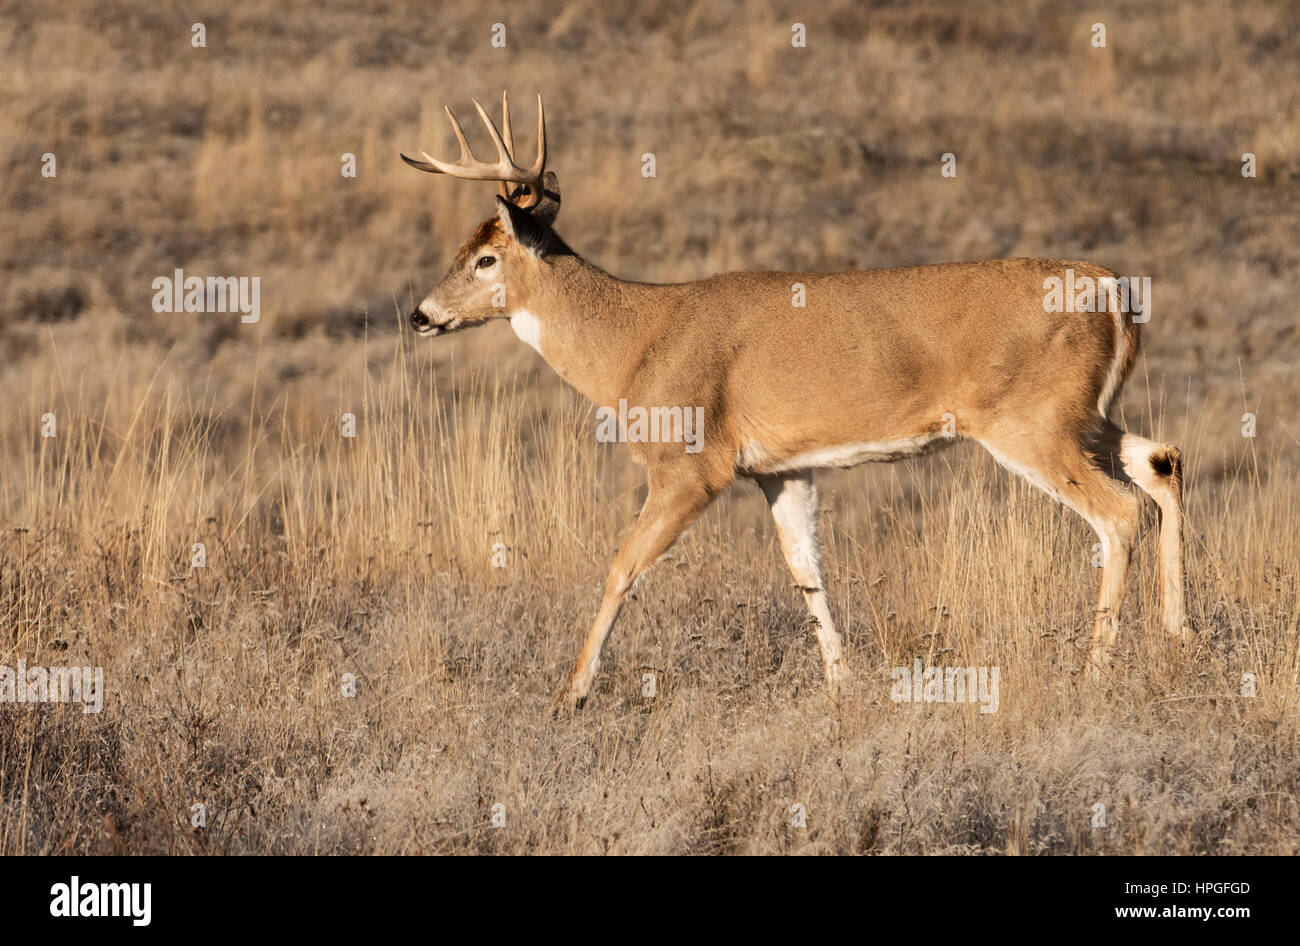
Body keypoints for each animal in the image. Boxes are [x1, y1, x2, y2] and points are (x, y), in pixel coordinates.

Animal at [402, 92, 1191, 714]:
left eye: (486, 258)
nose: (420, 314)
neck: (633, 344)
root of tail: (1113, 290)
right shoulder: (782, 468)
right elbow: (806, 569)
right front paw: (844, 688)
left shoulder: (692, 463)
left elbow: (622, 566)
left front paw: (570, 694)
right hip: (1084, 414)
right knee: (1162, 464)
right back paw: (1182, 635)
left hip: (1030, 420)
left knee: (1119, 511)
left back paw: (1095, 673)